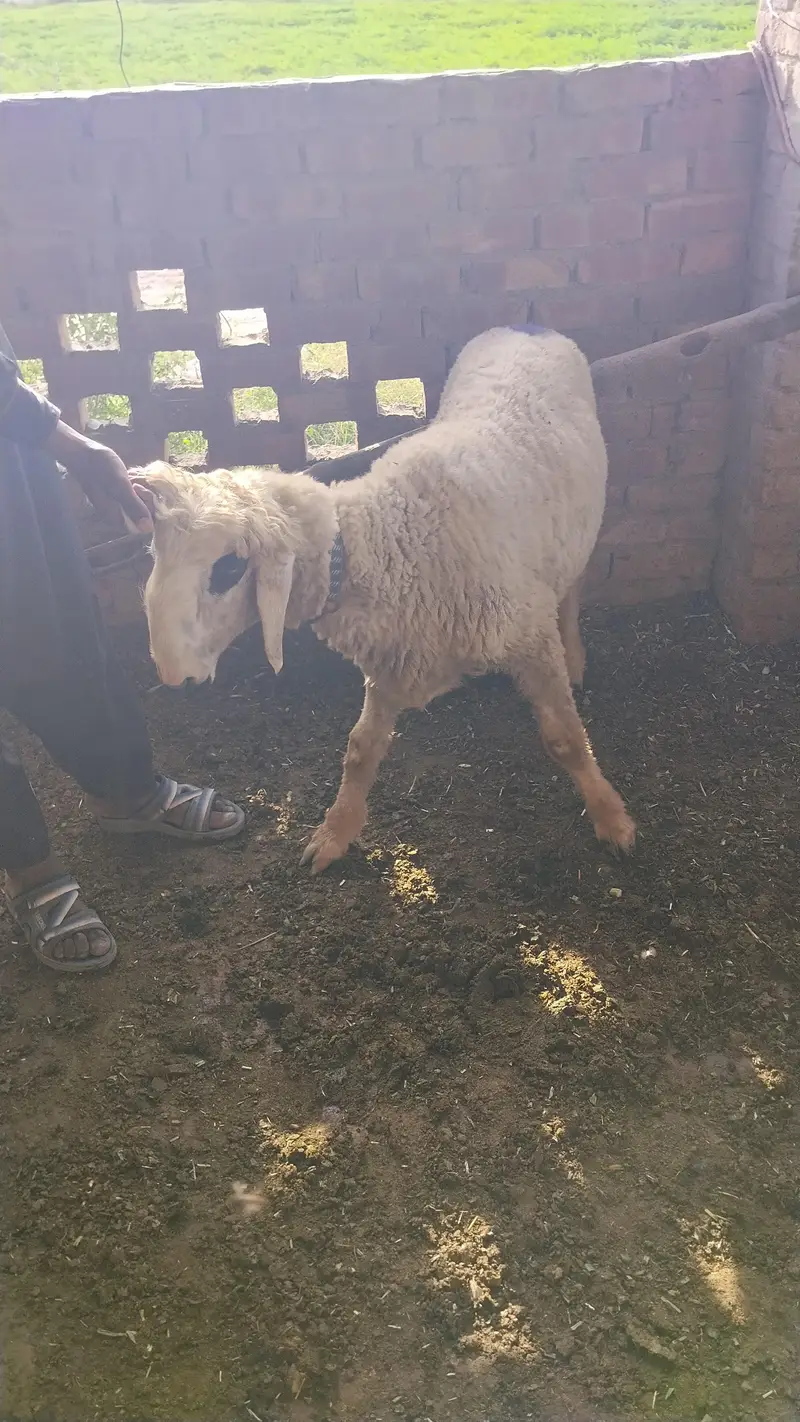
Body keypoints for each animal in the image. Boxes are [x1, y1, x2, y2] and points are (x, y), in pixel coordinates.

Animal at [135, 325, 635, 874]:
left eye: (227, 569)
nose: (170, 674)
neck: (384, 539)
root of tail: (526, 326)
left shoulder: (527, 634)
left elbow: (566, 740)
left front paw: (612, 819)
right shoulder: (395, 659)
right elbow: (360, 748)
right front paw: (333, 834)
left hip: (576, 534)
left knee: (571, 593)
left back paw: (577, 658)